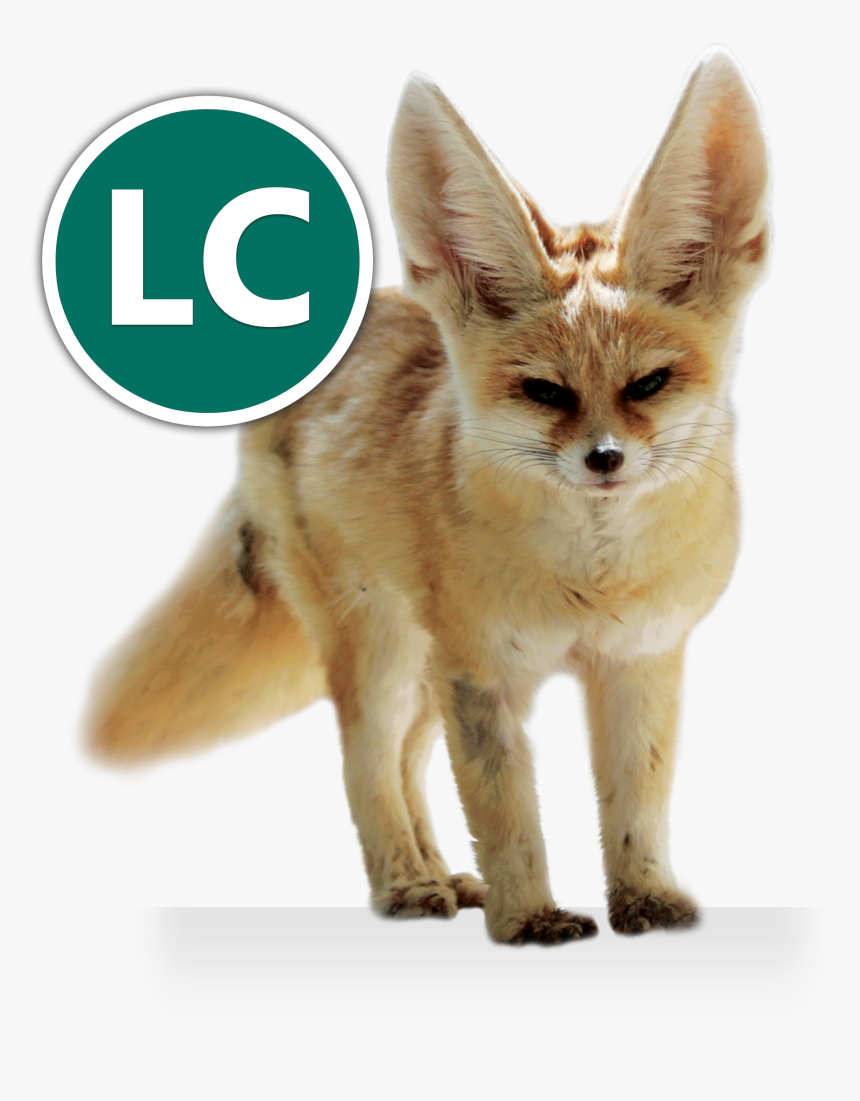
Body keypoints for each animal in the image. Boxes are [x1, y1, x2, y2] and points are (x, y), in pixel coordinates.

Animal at [87, 49, 769, 944]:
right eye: (545, 392)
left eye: (648, 384)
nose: (604, 459)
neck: (591, 581)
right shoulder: (481, 673)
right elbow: (507, 813)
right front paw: (529, 916)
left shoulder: (638, 661)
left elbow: (636, 804)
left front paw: (644, 898)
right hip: (382, 654)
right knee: (365, 762)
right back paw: (406, 883)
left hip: (418, 666)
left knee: (408, 764)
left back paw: (441, 871)